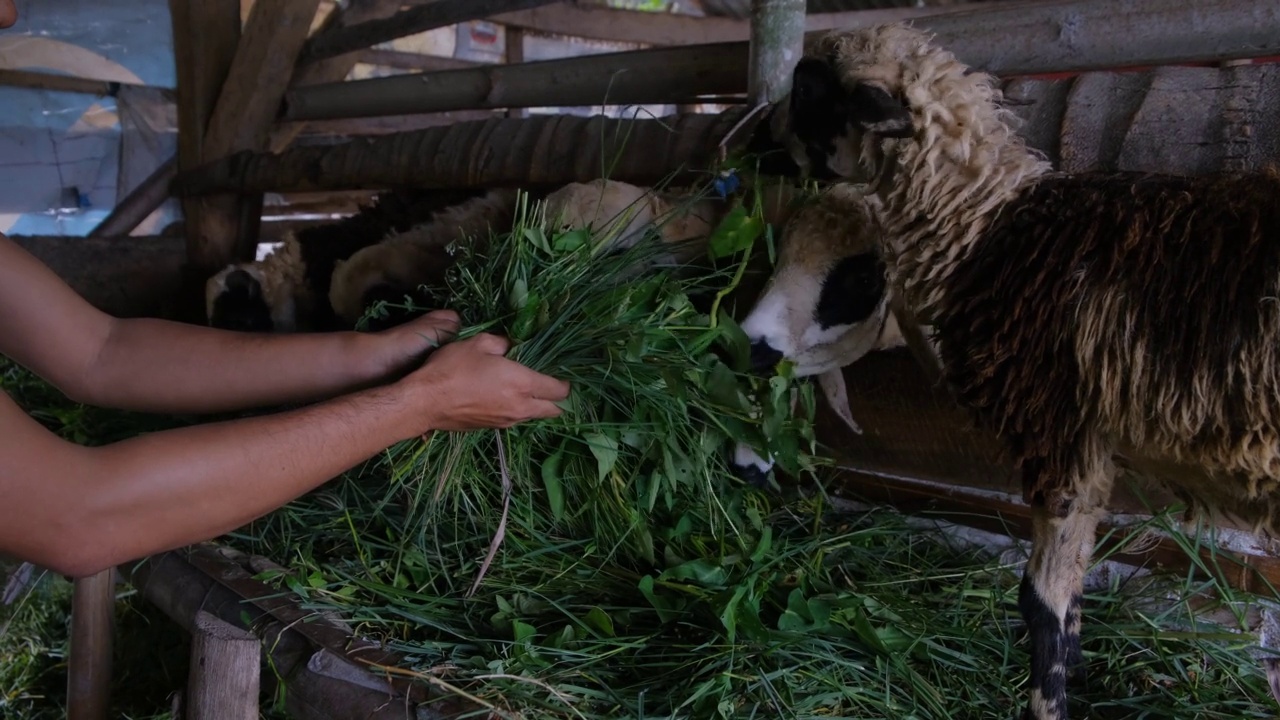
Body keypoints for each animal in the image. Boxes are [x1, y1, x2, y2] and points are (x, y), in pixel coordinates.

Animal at [752, 19, 1280, 717]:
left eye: (809, 87)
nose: (756, 140)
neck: (984, 234)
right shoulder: (1090, 447)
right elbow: (1071, 606)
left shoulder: (1059, 435)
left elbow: (1043, 607)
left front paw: (1046, 703)